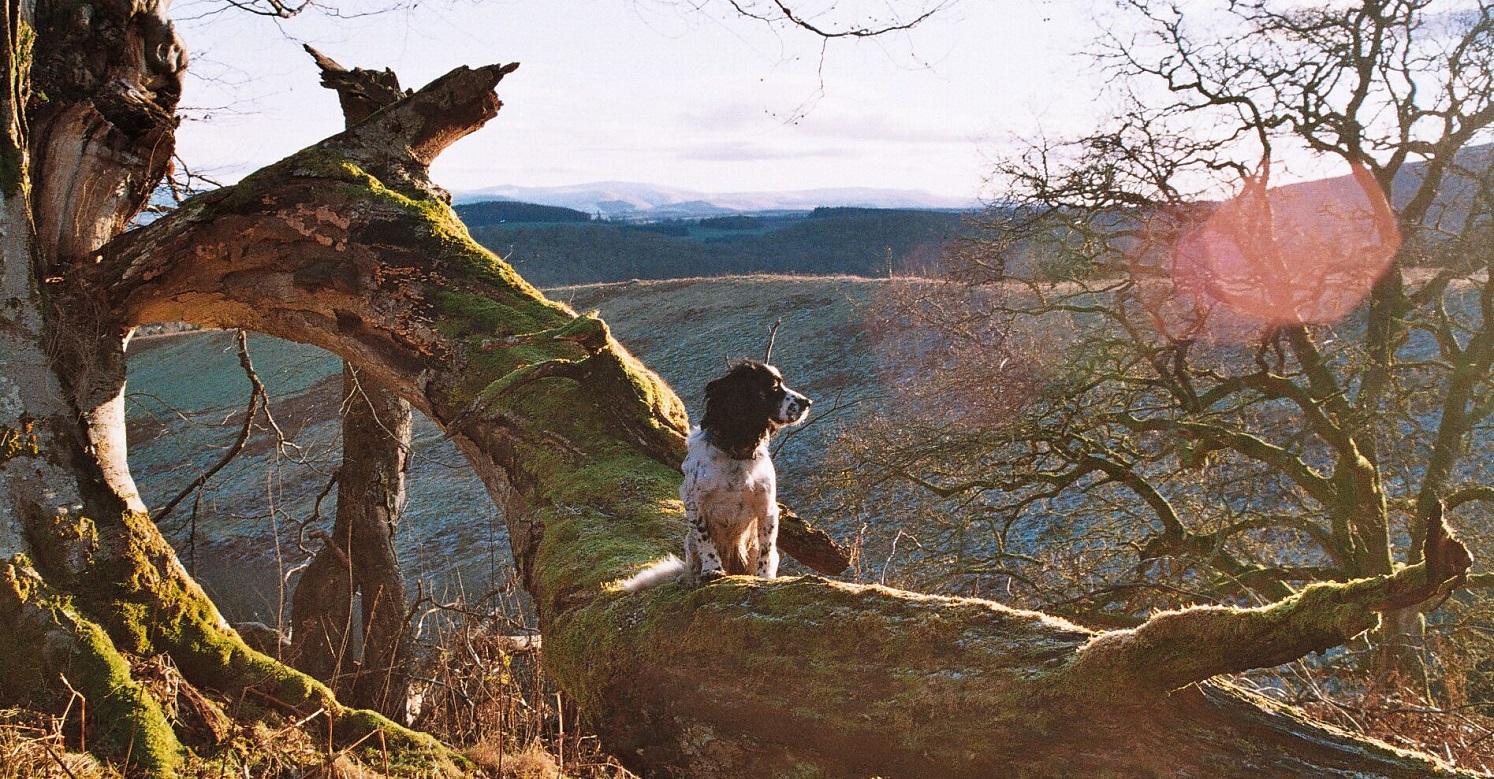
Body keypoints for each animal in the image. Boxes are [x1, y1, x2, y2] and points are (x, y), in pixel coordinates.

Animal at [618, 360, 812, 589]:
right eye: (773, 387)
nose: (807, 402)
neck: (735, 451)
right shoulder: (694, 503)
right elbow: (705, 538)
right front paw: (713, 570)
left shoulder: (767, 507)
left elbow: (766, 548)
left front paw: (764, 577)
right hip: (689, 543)